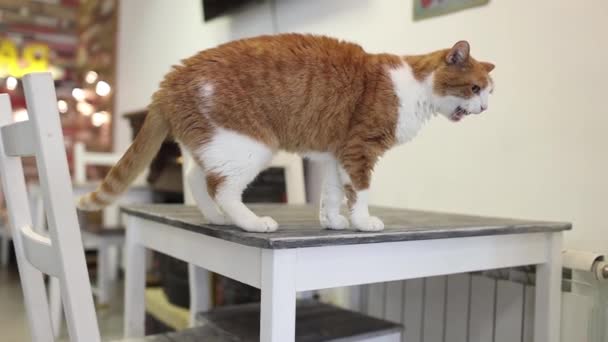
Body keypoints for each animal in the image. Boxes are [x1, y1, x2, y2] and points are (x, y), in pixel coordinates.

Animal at [77, 34, 494, 232]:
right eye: (475, 89)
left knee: (197, 177)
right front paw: (363, 221)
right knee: (222, 187)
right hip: (252, 146)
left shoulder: (336, 153)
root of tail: (168, 82)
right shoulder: (360, 150)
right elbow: (360, 192)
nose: (486, 108)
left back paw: (216, 218)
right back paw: (251, 222)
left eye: (490, 92)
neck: (414, 87)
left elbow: (332, 193)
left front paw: (333, 222)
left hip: (216, 142)